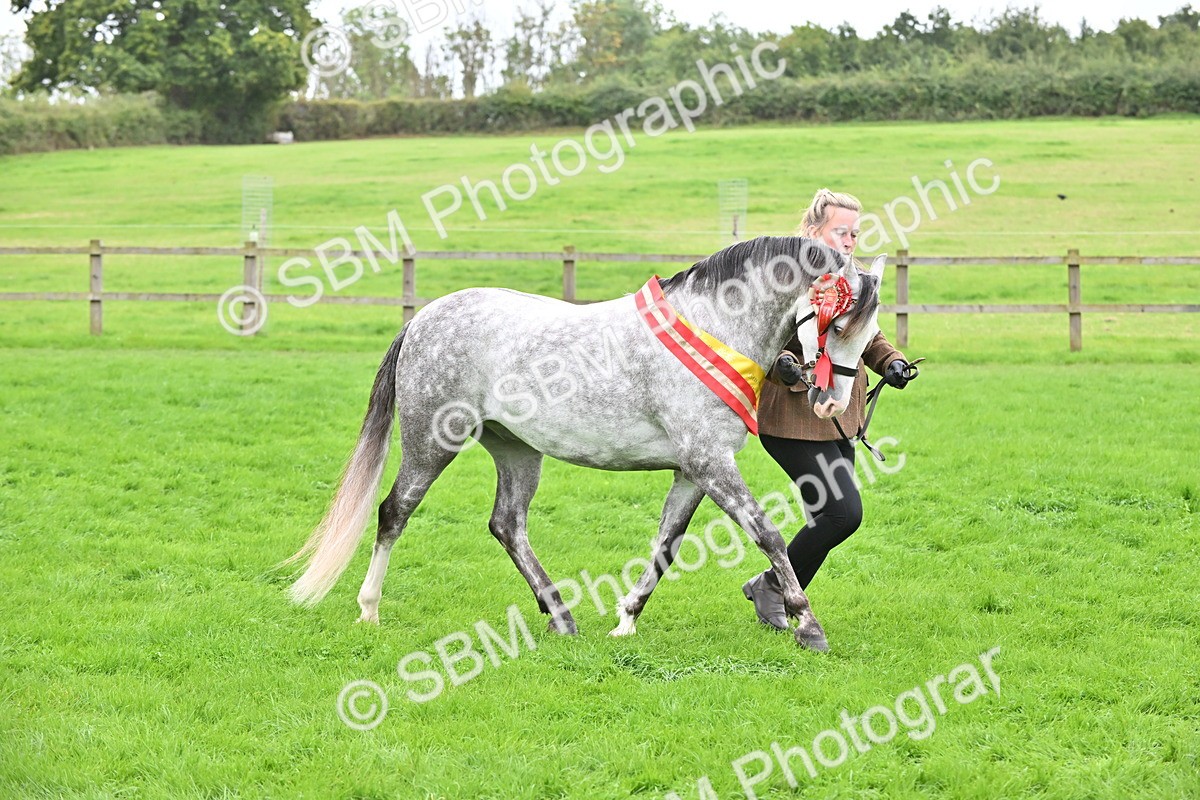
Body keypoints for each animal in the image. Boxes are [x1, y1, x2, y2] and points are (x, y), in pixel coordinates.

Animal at [284, 236, 886, 652]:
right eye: (836, 325)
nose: (833, 405)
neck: (713, 327)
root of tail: (423, 319)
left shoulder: (693, 471)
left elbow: (666, 545)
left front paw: (626, 620)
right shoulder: (710, 463)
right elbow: (768, 534)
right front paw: (807, 624)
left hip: (516, 450)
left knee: (507, 525)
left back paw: (561, 615)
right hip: (432, 442)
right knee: (394, 512)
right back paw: (369, 608)